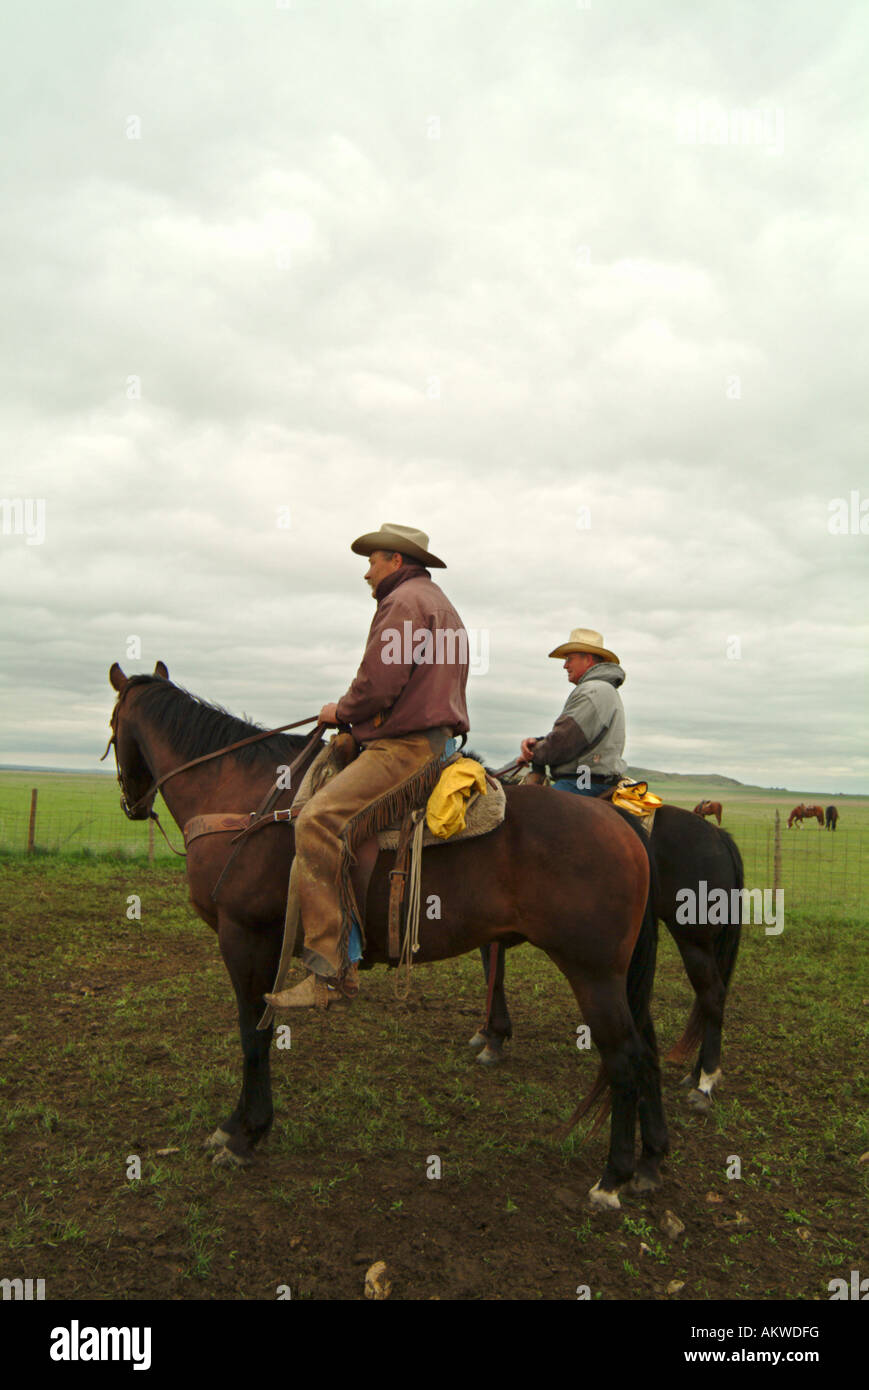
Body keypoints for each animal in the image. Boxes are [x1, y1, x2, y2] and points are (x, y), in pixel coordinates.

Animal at [107, 661, 664, 1206]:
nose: (131, 804)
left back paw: (612, 1179)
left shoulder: (245, 936)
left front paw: (243, 1135)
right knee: (648, 1049)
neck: (244, 799)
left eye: (112, 728)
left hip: (592, 972)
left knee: (624, 1057)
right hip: (616, 974)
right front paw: (238, 1128)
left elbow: (254, 1032)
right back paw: (648, 1165)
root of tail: (621, 823)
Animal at [469, 806, 739, 1106]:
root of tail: (718, 835)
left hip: (693, 940)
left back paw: (705, 1082)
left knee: (712, 996)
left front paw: (494, 1038)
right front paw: (486, 1032)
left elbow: (494, 976)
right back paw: (696, 1074)